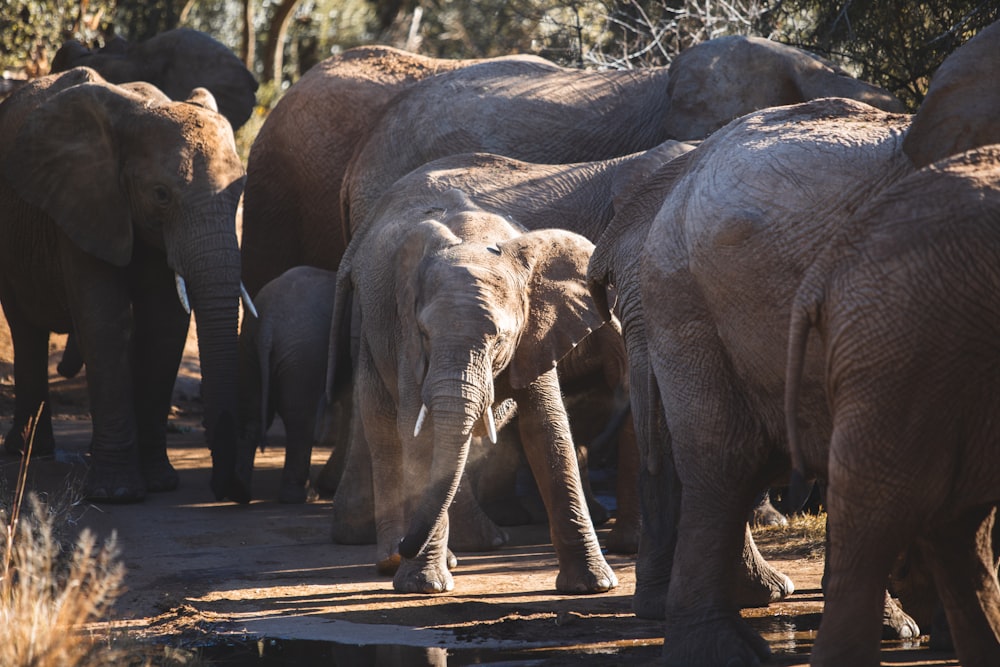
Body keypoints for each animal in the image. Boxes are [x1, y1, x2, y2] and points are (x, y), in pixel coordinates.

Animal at [0, 69, 250, 506]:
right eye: (161, 195)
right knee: (26, 328)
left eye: (240, 192)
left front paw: (160, 484)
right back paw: (28, 451)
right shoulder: (84, 197)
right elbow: (103, 320)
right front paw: (116, 494)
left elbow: (164, 325)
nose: (234, 489)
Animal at [332, 188, 616, 596]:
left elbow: (547, 429)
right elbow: (420, 434)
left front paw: (594, 585)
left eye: (500, 339)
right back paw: (394, 561)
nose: (407, 545)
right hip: (371, 333)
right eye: (424, 334)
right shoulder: (406, 339)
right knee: (383, 431)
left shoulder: (536, 333)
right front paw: (424, 585)